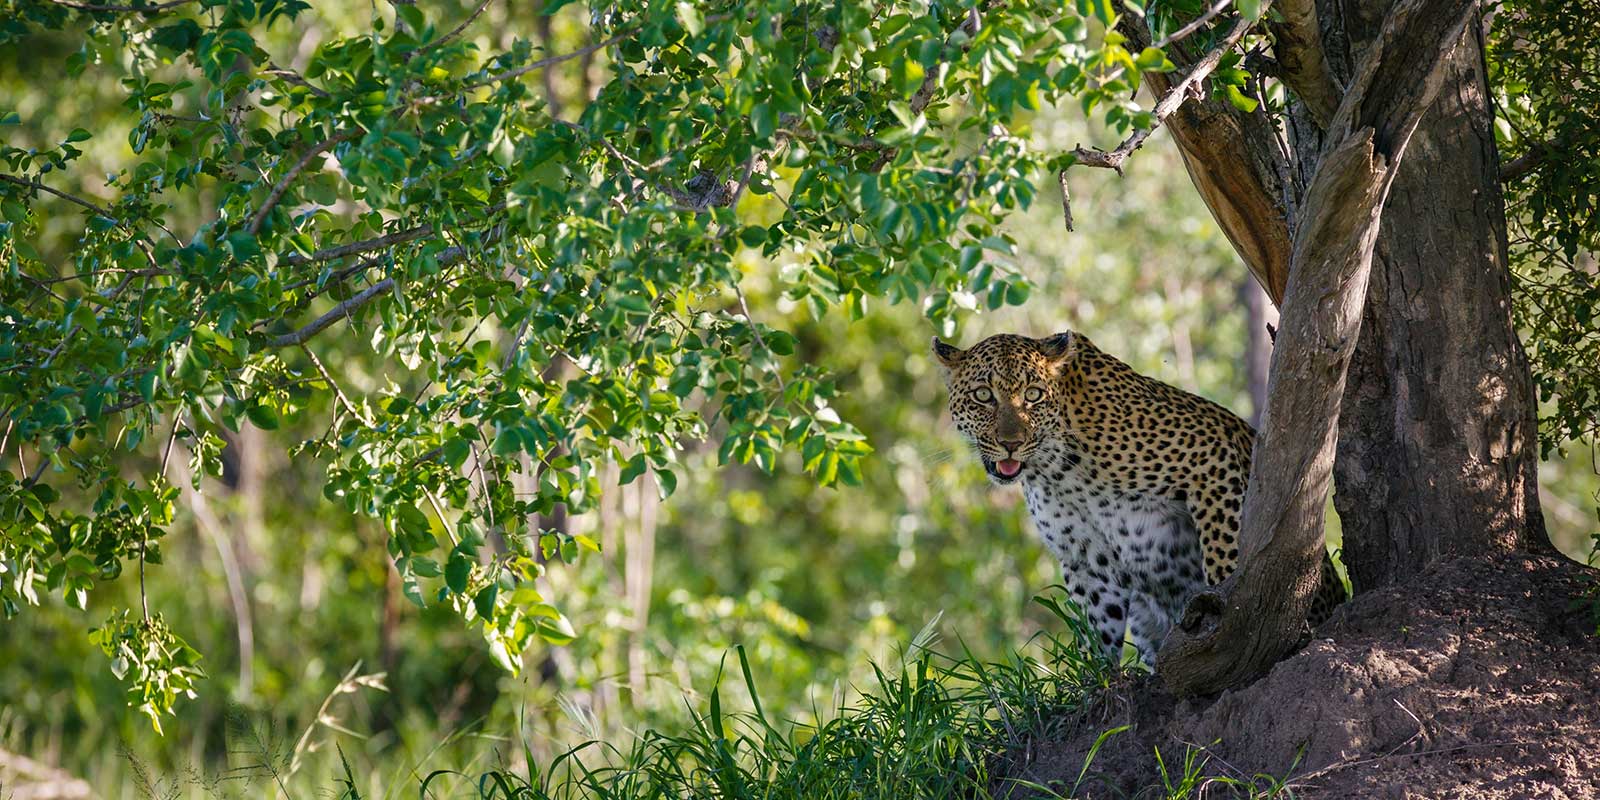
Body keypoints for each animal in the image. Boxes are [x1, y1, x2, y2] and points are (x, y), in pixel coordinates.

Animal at [933, 330, 1347, 666]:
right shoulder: (1086, 555)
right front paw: (1095, 682)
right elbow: (1095, 624)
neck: (1056, 471)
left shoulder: (1215, 460)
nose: (1010, 443)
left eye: (1033, 396)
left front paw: (1231, 627)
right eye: (983, 396)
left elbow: (1227, 556)